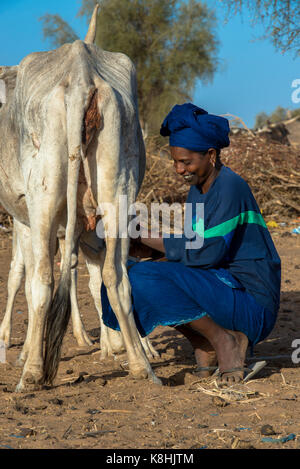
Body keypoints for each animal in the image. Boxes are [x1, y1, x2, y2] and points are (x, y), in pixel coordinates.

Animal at [0, 4, 162, 392]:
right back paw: (141, 364)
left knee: (43, 279)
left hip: (43, 198)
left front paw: (23, 352)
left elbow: (23, 278)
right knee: (115, 276)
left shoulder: (24, 220)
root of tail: (81, 73)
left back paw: (32, 373)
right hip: (117, 191)